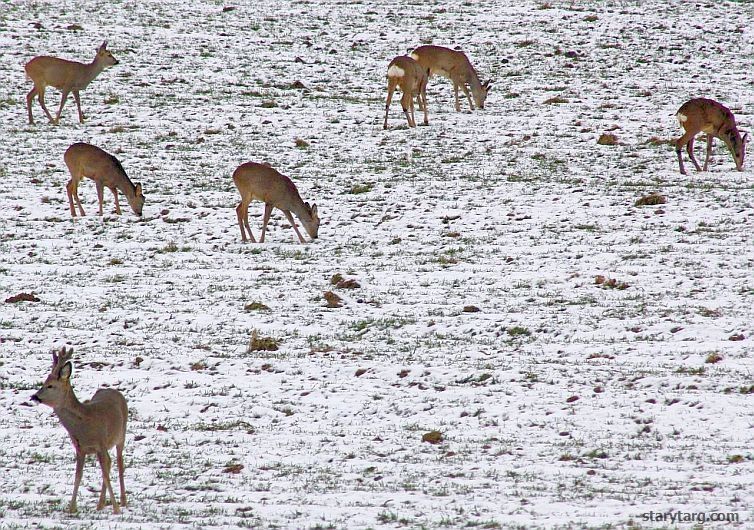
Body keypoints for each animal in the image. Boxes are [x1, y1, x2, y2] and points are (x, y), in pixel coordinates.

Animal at [30, 346, 128, 512]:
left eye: (50, 385)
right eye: (43, 383)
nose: (34, 397)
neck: (84, 427)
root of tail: (115, 391)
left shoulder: (101, 443)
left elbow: (105, 474)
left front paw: (116, 509)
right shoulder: (80, 448)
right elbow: (78, 476)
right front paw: (72, 508)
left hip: (121, 434)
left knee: (119, 464)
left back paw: (123, 501)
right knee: (109, 463)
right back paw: (100, 504)